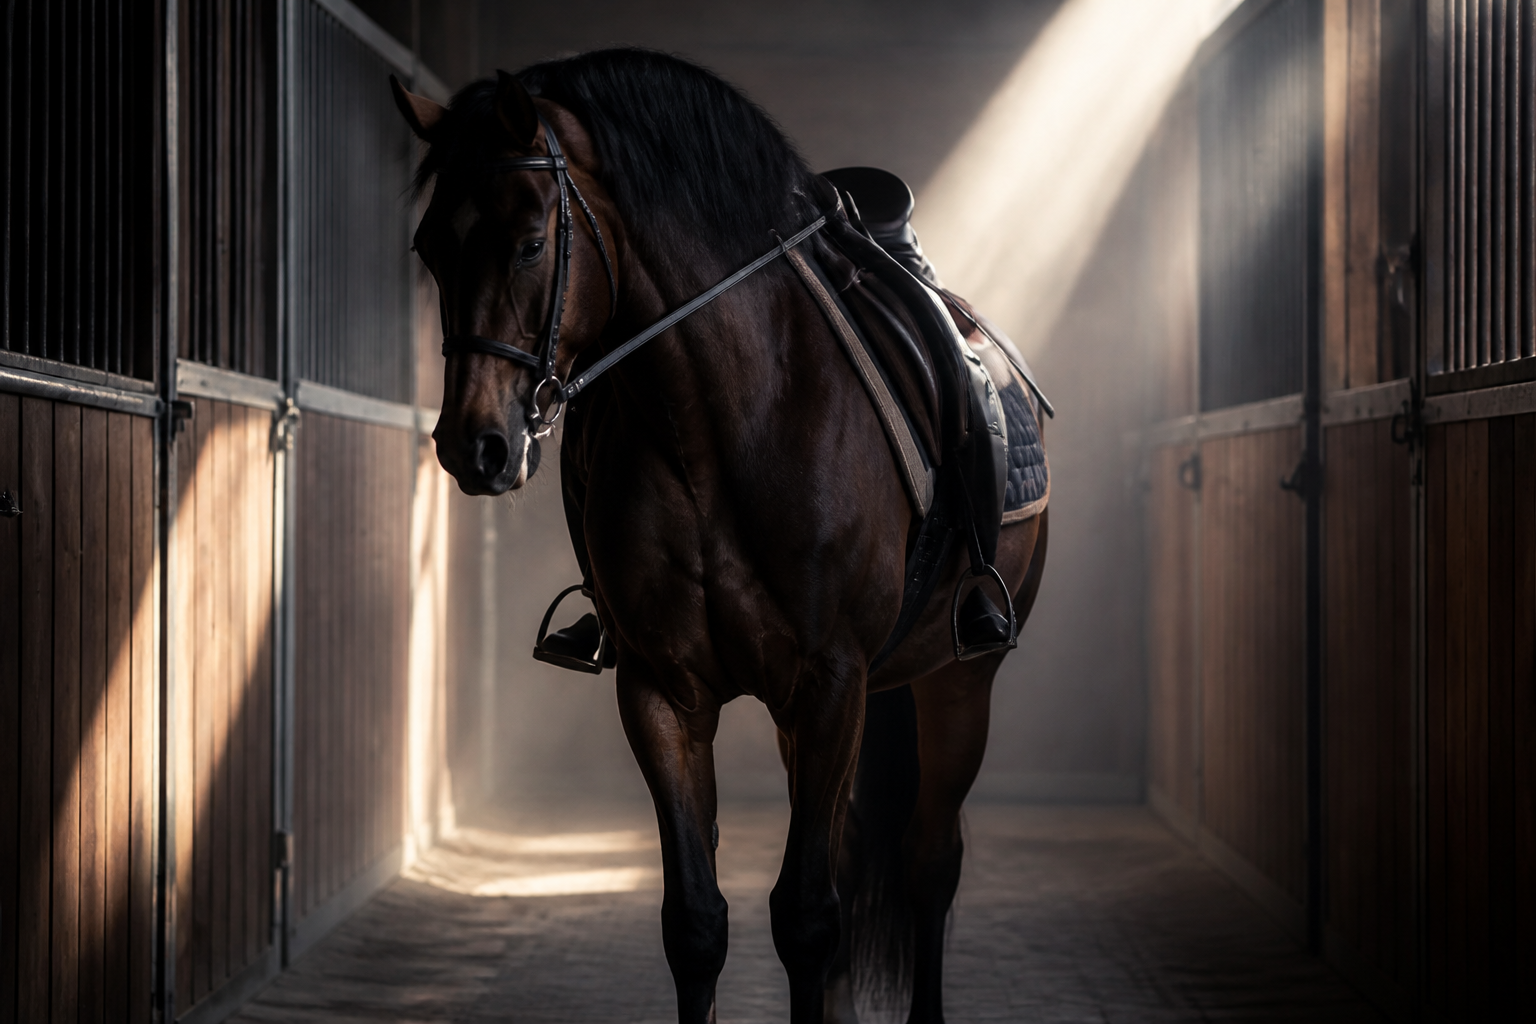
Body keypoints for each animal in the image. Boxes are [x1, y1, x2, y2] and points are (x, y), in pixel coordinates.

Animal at [391, 49, 1048, 1024]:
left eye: (531, 241)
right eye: (431, 246)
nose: (475, 445)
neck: (722, 424)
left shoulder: (831, 683)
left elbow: (808, 917)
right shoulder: (665, 692)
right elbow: (697, 923)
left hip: (961, 678)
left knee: (931, 862)